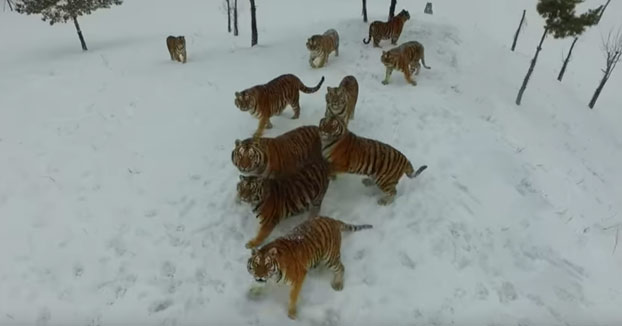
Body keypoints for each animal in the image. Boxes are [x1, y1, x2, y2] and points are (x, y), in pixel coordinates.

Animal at [247, 215, 376, 320]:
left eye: (267, 265)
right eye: (256, 264)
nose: (259, 276)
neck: (274, 275)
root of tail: (332, 220)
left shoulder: (299, 277)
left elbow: (293, 296)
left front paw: (292, 313)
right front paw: (254, 291)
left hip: (330, 258)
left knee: (341, 267)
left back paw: (338, 284)